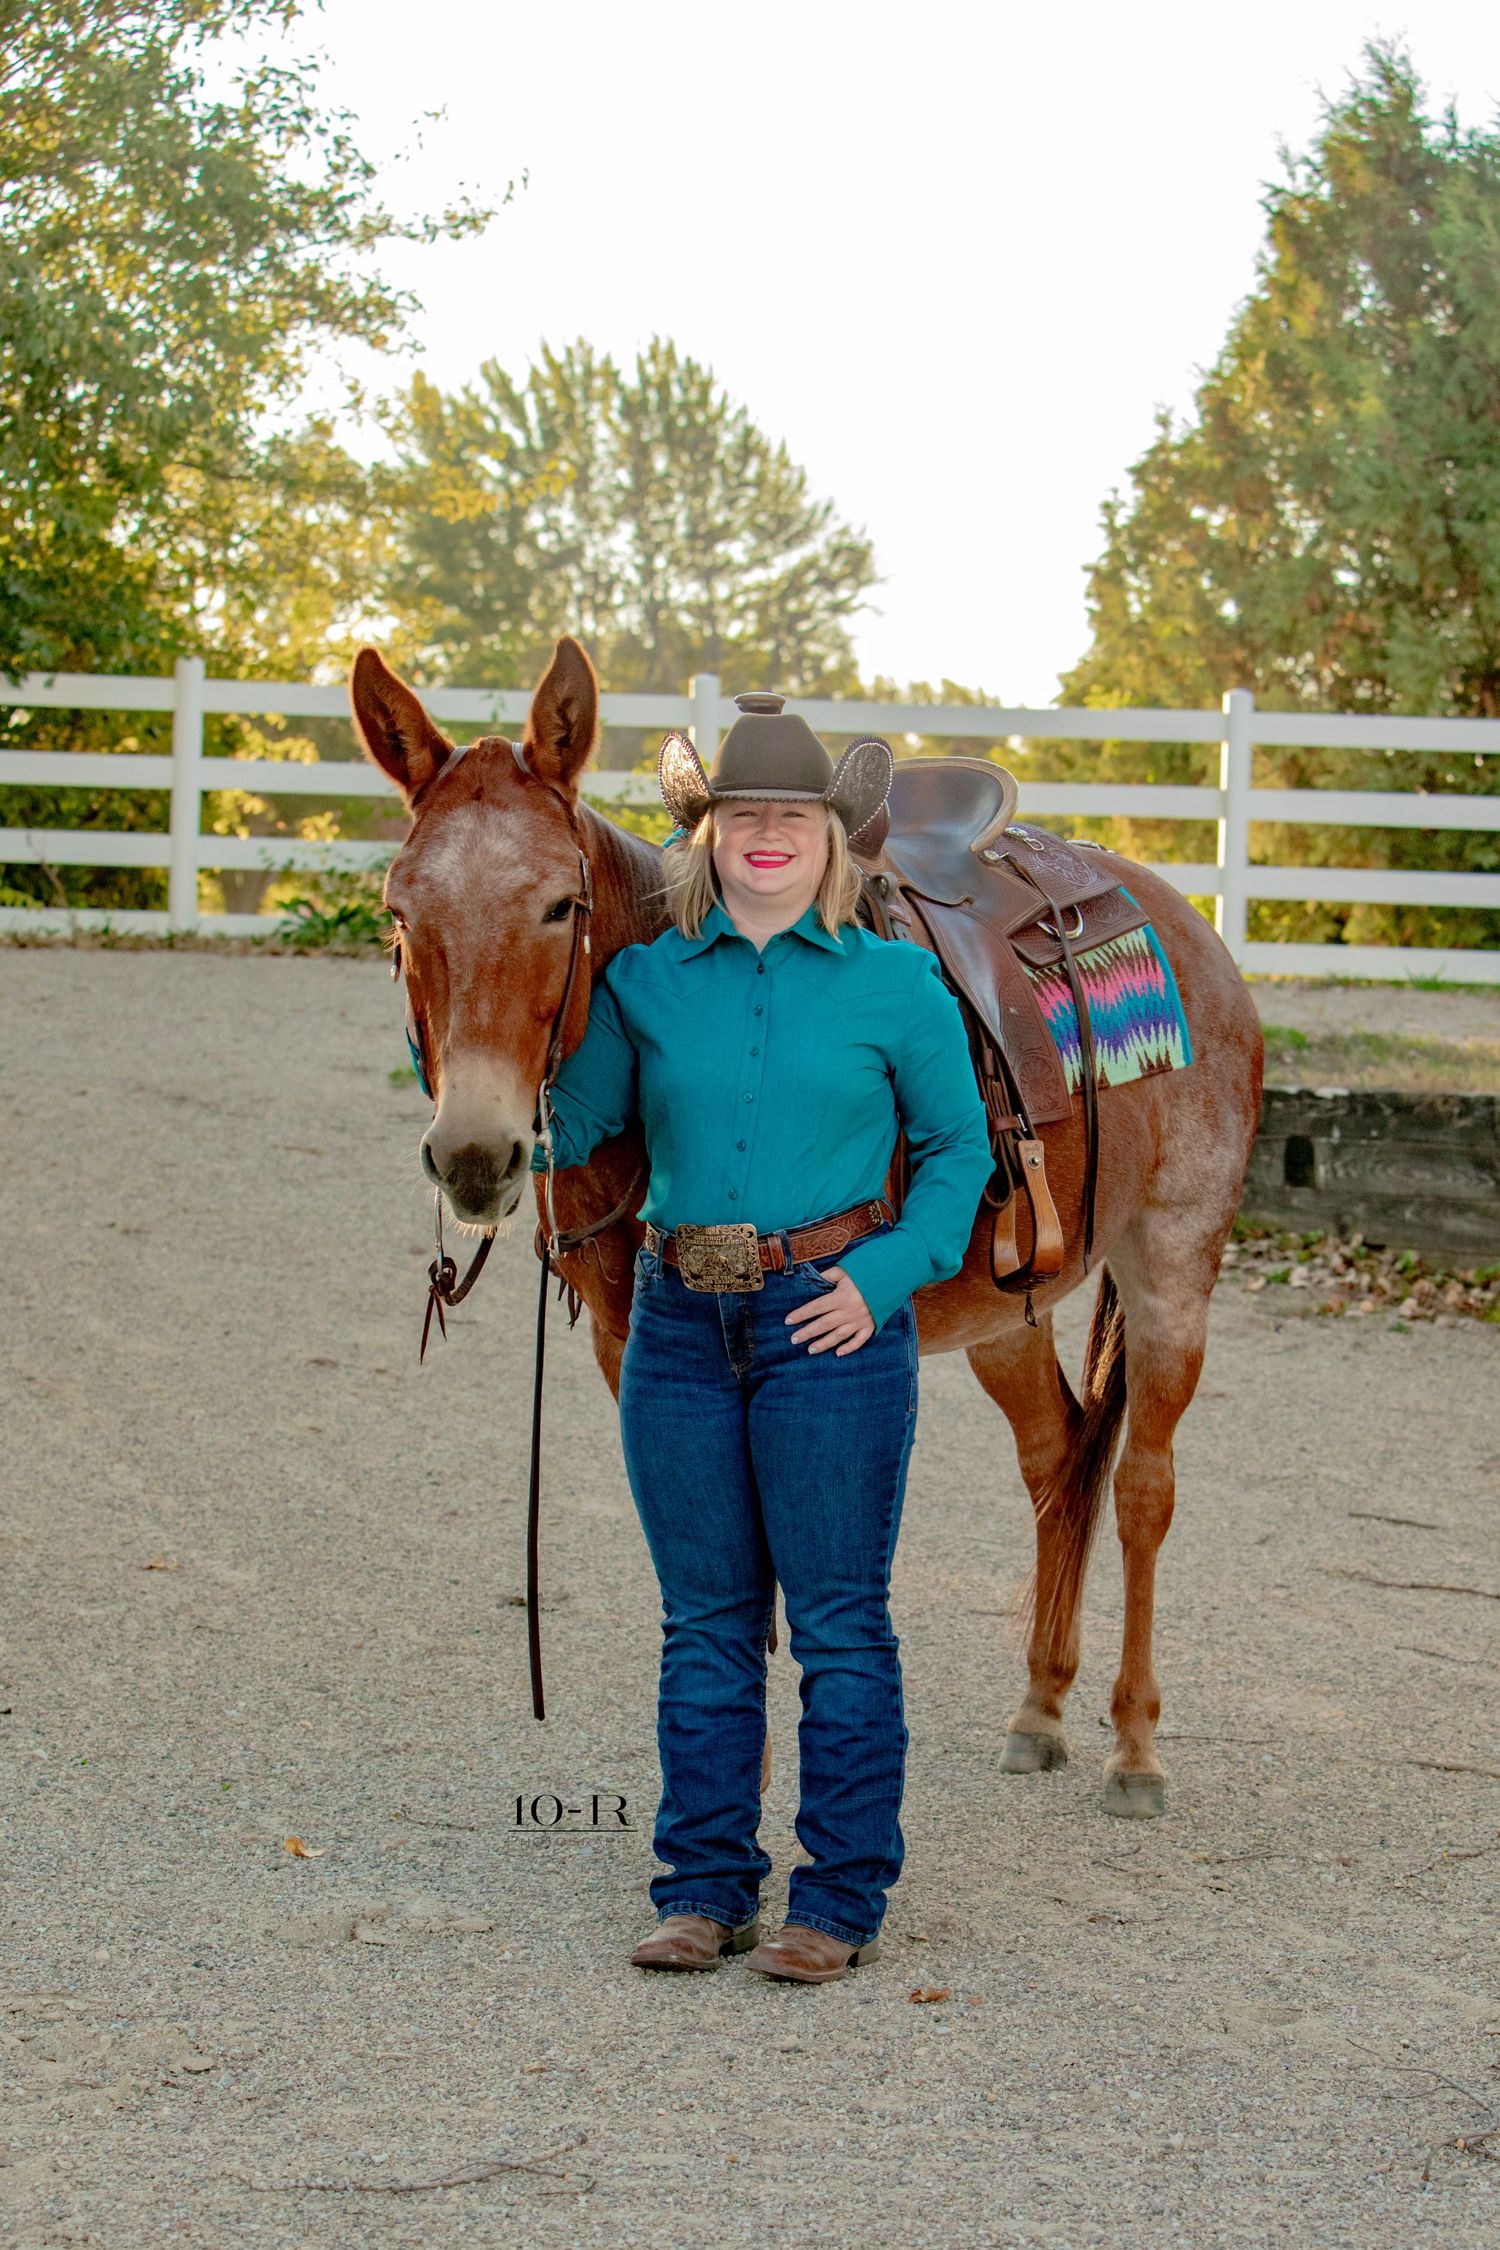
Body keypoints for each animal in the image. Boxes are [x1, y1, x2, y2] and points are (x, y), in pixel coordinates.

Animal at [350, 634, 1265, 1818]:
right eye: (400, 912)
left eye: (558, 906)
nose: (475, 1155)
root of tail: (1189, 928)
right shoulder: (631, 1351)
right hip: (1008, 1308)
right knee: (1059, 1457)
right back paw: (1039, 1709)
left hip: (1172, 1266)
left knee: (1145, 1486)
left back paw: (1135, 1747)